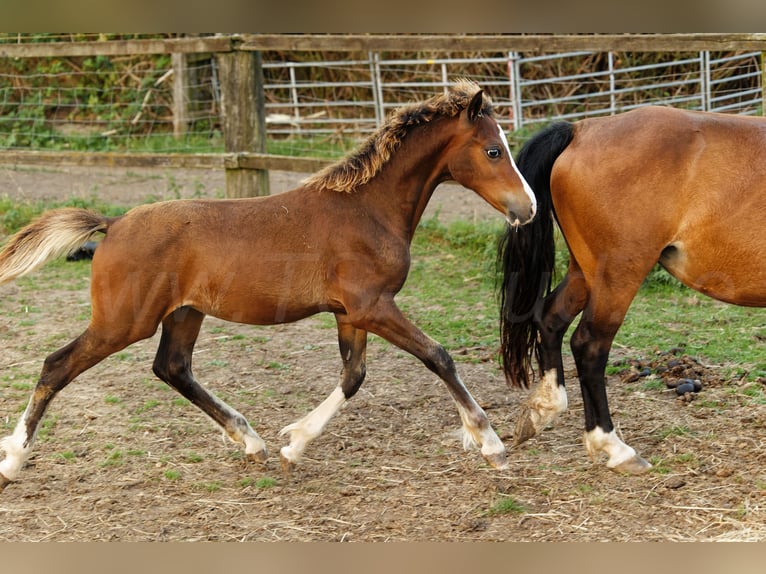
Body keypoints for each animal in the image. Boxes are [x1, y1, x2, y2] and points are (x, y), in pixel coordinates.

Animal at [0, 80, 536, 491]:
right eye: (493, 150)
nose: (527, 207)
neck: (367, 209)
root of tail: (112, 224)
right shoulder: (373, 306)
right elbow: (438, 357)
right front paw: (491, 444)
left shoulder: (351, 312)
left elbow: (353, 376)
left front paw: (292, 447)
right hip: (123, 321)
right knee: (56, 365)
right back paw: (13, 460)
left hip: (185, 313)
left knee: (172, 367)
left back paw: (251, 441)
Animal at [498, 106, 766, 474]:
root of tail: (582, 130)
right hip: (618, 276)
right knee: (589, 346)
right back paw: (612, 446)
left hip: (586, 272)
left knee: (550, 318)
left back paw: (545, 407)